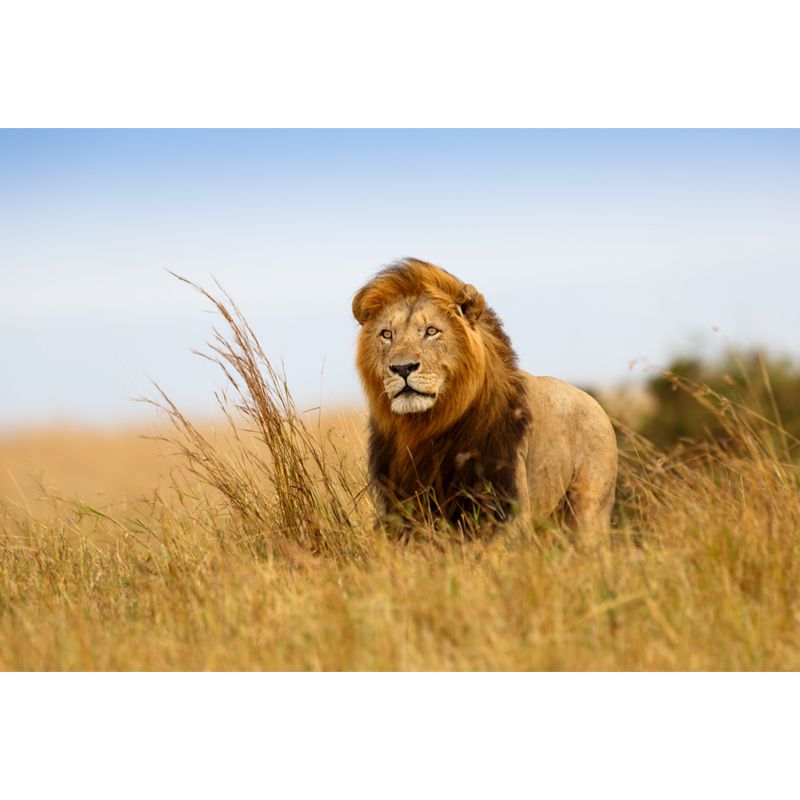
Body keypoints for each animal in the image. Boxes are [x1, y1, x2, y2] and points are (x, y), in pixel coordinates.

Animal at [352, 258, 618, 533]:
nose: (402, 368)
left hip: (589, 510)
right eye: (386, 334)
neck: (426, 426)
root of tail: (594, 403)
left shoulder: (506, 504)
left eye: (431, 331)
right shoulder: (399, 505)